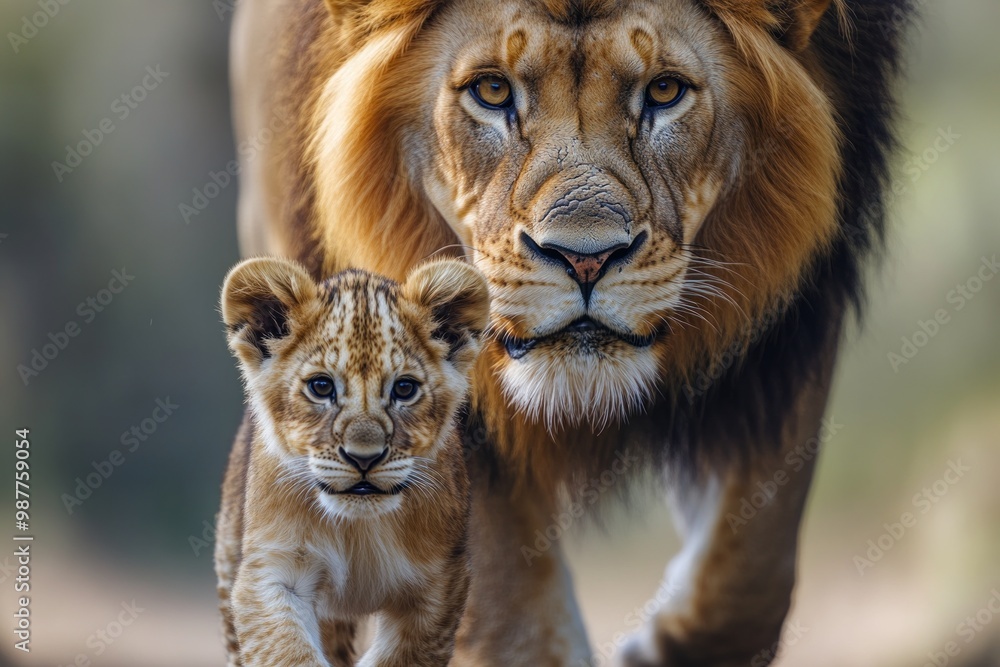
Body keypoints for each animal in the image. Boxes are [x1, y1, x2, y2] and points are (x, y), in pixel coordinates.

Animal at [227, 0, 913, 664]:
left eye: (664, 90)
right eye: (492, 90)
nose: (586, 259)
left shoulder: (788, 341)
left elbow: (753, 567)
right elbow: (515, 620)